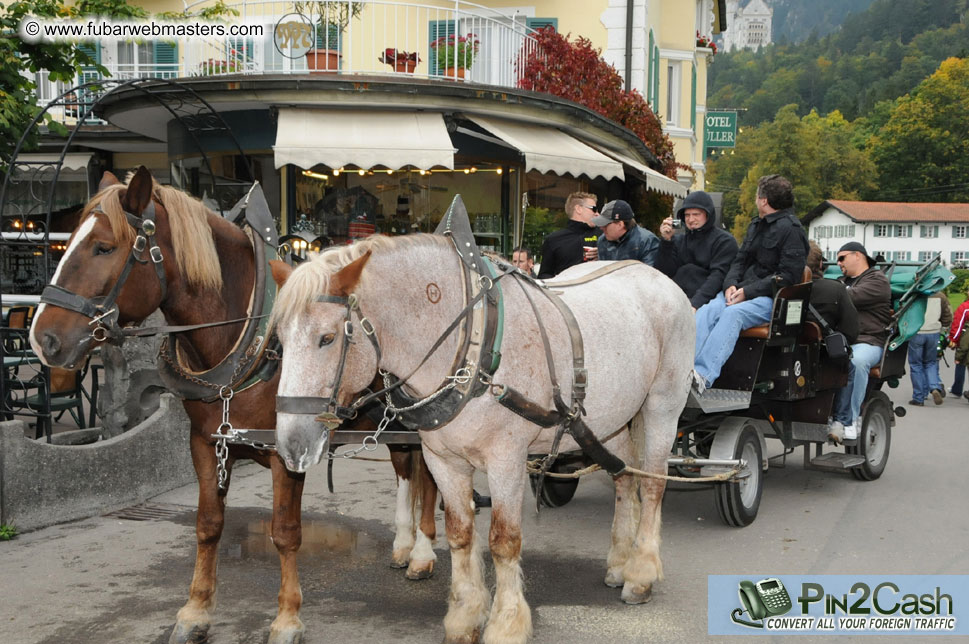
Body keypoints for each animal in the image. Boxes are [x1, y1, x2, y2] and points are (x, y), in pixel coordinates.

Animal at [28, 167, 438, 644]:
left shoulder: (285, 450)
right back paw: (405, 544)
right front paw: (196, 611)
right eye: (69, 240)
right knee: (406, 467)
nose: (43, 339)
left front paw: (287, 618)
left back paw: (423, 551)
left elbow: (285, 532)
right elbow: (208, 524)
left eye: (104, 247)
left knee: (429, 477)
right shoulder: (206, 442)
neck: (249, 339)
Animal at [268, 234, 692, 644]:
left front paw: (506, 624)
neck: (471, 346)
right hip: (610, 420)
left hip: (662, 406)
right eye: (280, 341)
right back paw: (620, 562)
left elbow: (504, 540)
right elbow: (460, 534)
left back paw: (641, 573)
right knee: (623, 477)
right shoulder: (442, 459)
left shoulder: (507, 458)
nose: (290, 445)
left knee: (652, 484)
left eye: (327, 338)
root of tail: (657, 277)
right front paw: (465, 616)